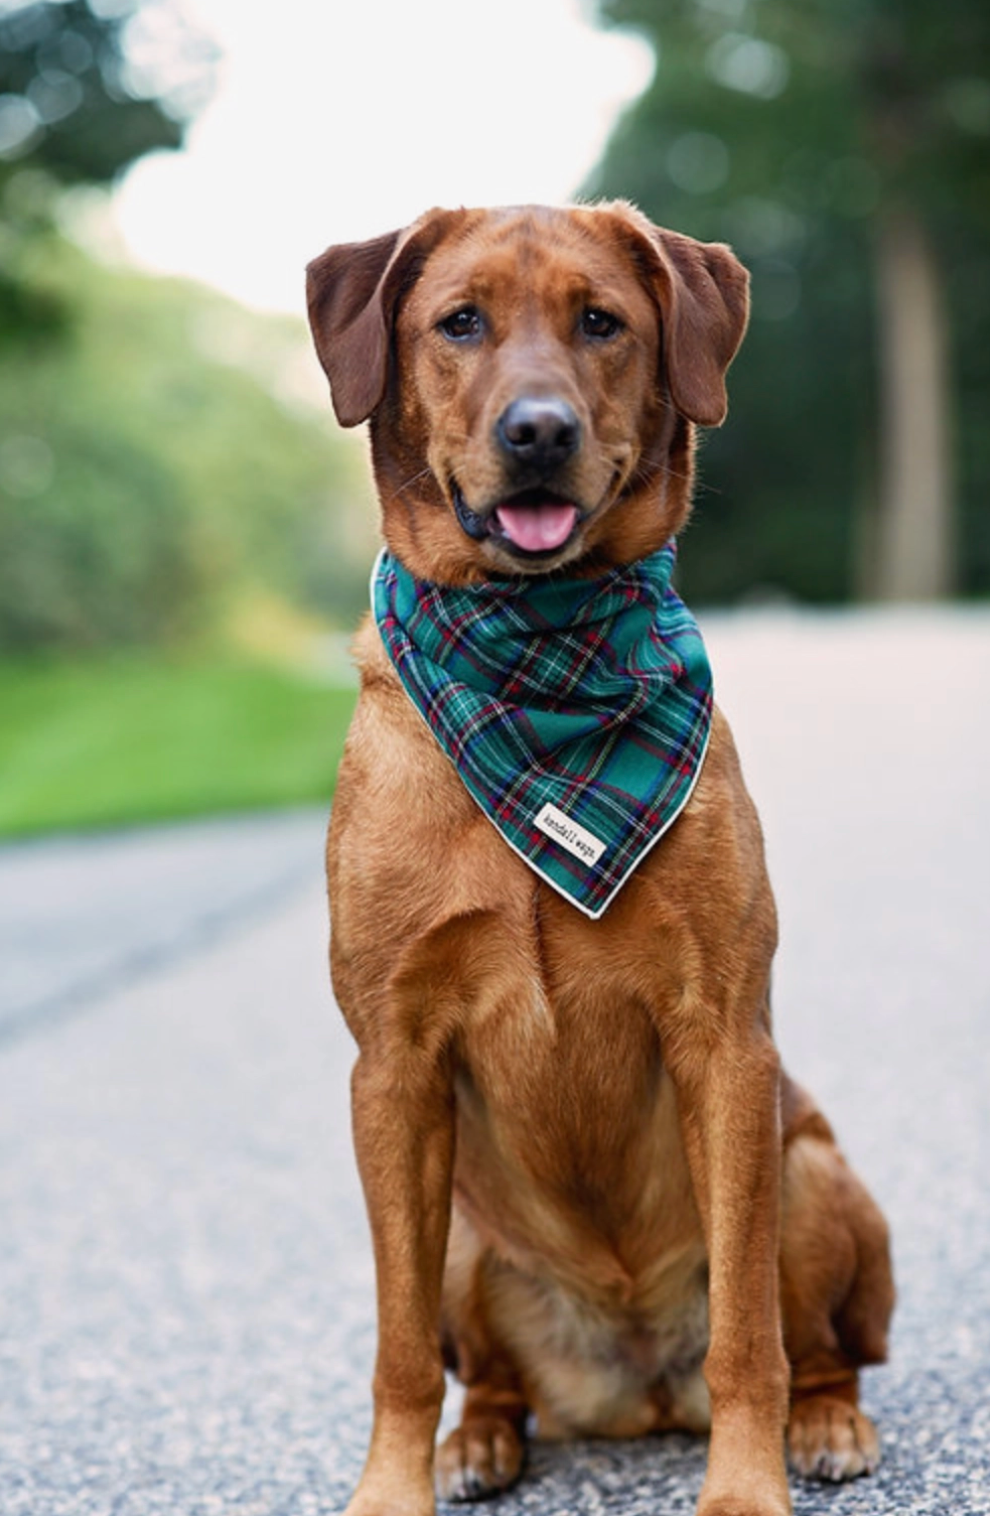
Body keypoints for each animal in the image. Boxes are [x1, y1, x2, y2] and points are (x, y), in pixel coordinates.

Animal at [304, 201, 891, 1516]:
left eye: (602, 322)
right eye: (459, 322)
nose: (539, 430)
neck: (538, 656)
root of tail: (634, 1390)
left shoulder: (724, 1039)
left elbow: (751, 1338)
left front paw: (744, 1488)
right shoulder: (391, 1067)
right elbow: (397, 1347)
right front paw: (392, 1488)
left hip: (811, 1168)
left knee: (820, 1347)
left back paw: (827, 1422)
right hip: (467, 1230)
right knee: (489, 1375)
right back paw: (480, 1441)